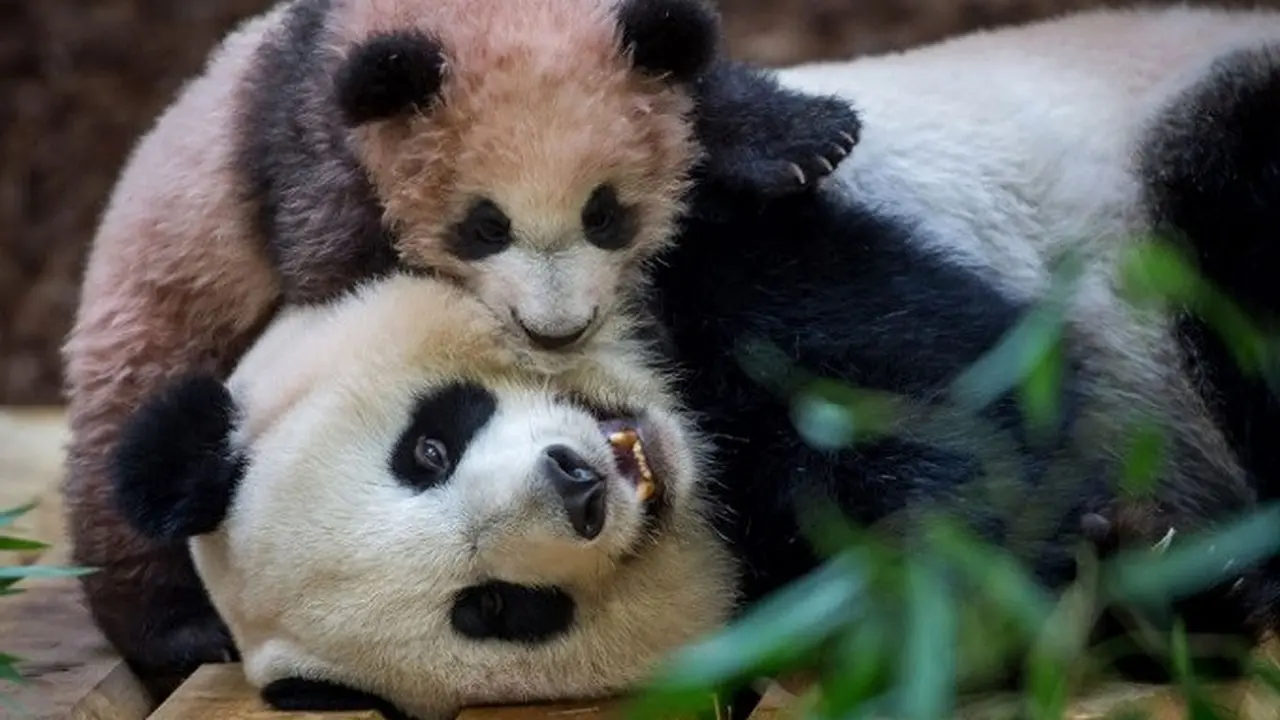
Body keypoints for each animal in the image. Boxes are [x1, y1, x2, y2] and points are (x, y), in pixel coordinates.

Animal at [60, 0, 861, 685]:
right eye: (484, 227)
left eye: (606, 215)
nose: (557, 330)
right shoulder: (311, 155)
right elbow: (346, 281)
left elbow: (694, 79)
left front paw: (806, 139)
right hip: (160, 313)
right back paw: (176, 631)